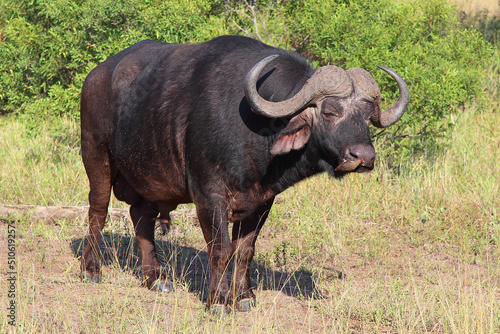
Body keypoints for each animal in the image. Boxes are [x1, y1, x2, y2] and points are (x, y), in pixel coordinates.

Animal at [80, 34, 410, 310]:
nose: (363, 156)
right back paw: (91, 270)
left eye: (366, 116)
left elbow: (245, 250)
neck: (254, 134)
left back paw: (157, 278)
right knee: (98, 212)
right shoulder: (209, 196)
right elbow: (220, 249)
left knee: (141, 217)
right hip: (96, 158)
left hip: (148, 179)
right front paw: (218, 300)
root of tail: (96, 75)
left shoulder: (261, 201)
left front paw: (243, 296)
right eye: (329, 112)